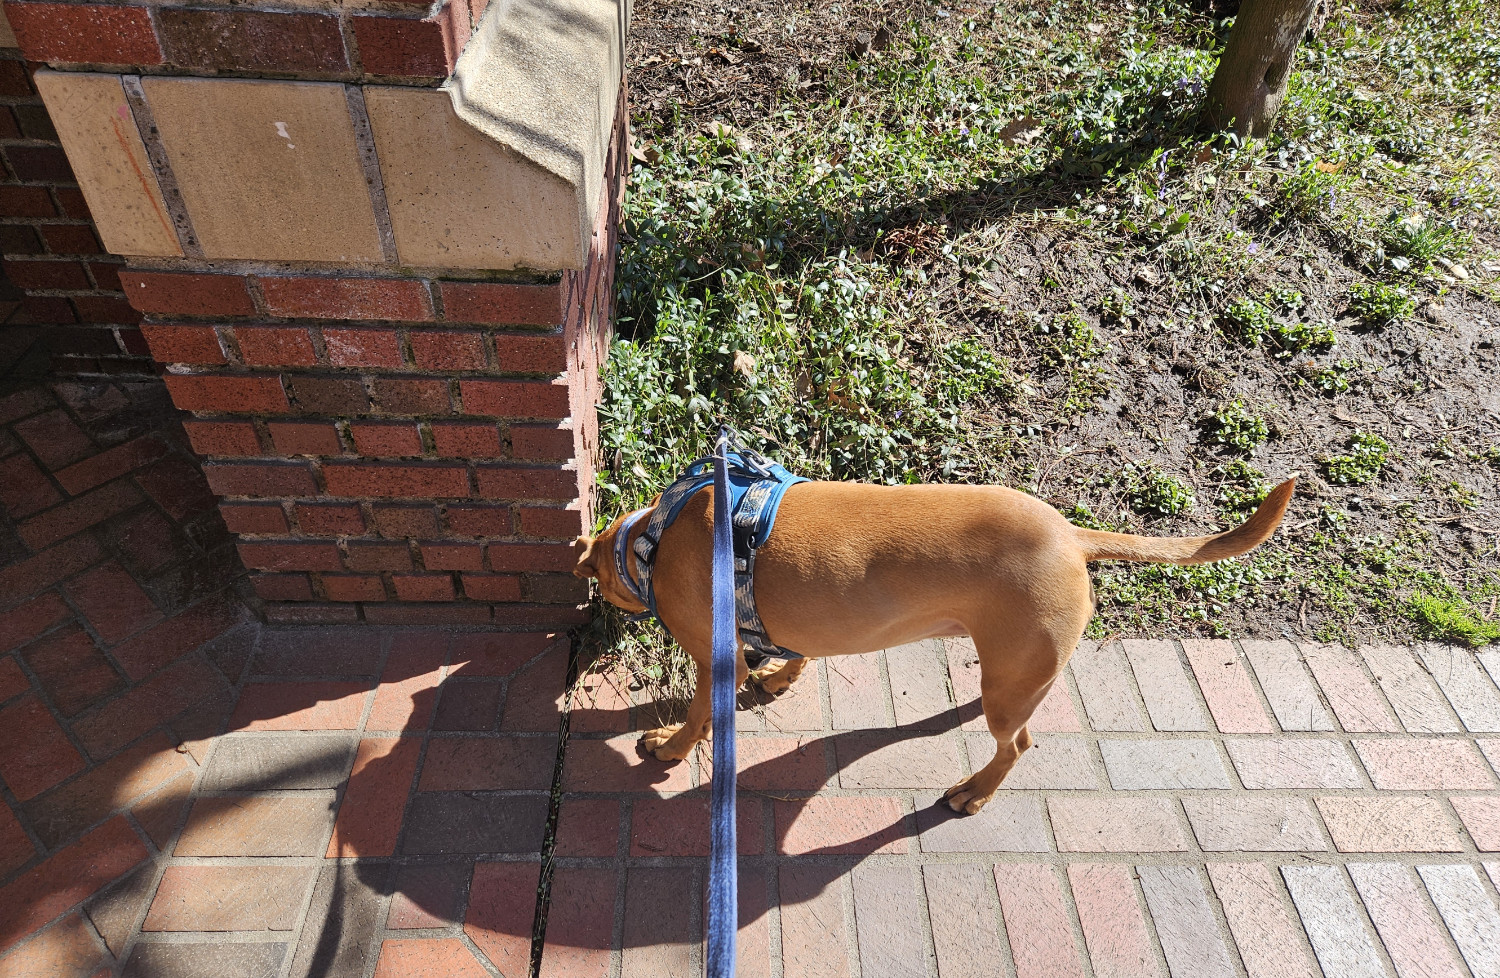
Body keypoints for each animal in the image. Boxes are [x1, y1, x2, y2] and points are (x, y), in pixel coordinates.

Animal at [567, 477, 1296, 816]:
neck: (654, 540)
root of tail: (1071, 536)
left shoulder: (710, 658)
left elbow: (694, 717)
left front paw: (666, 746)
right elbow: (795, 653)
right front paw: (779, 676)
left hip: (1010, 688)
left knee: (1016, 745)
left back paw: (974, 792)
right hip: (1013, 667)